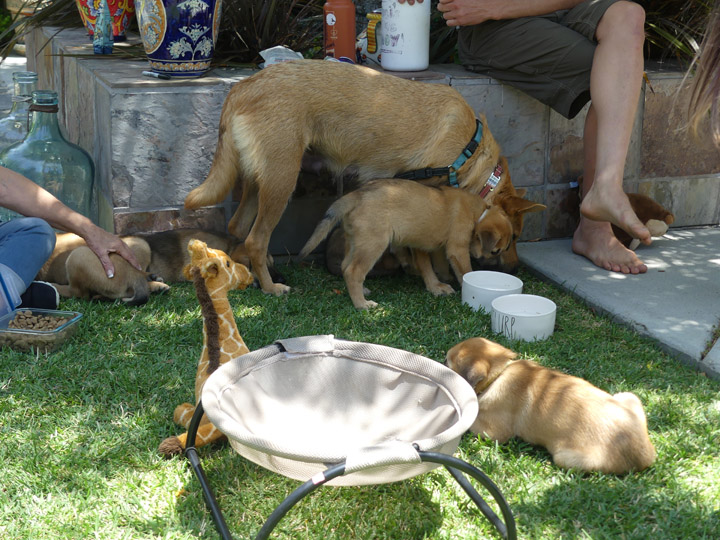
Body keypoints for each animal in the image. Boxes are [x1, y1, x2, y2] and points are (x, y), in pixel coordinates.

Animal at [183, 59, 544, 296]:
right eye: (512, 238)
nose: (516, 270)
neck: (471, 147)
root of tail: (242, 86)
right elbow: (426, 253)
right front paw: (435, 281)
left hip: (259, 183)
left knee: (238, 228)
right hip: (281, 182)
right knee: (256, 239)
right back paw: (271, 287)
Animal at [296, 179, 512, 310]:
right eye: (495, 251)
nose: (506, 269)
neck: (478, 213)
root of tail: (356, 195)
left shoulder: (426, 246)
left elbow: (431, 268)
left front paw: (437, 286)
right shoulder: (457, 249)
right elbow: (464, 271)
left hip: (355, 242)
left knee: (344, 266)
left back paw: (361, 292)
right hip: (373, 244)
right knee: (353, 271)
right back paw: (362, 304)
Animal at [448, 338, 656, 476]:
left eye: (448, 365)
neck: (500, 372)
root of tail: (645, 457)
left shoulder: (492, 433)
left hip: (564, 457)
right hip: (628, 396)